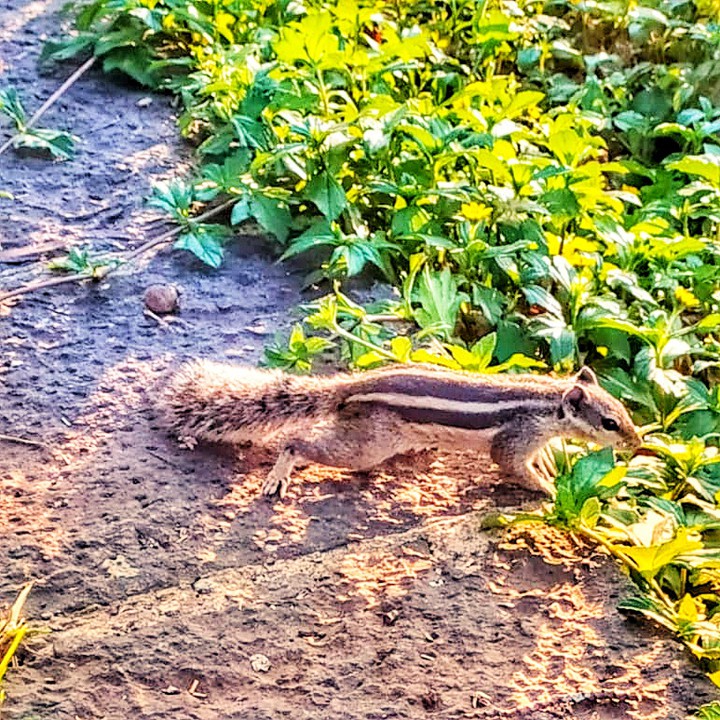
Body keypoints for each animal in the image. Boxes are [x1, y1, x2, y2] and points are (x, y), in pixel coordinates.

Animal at [157, 361, 641, 498]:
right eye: (610, 422)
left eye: (626, 411)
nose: (638, 442)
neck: (545, 402)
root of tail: (350, 386)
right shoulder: (514, 436)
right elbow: (507, 463)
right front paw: (547, 488)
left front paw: (549, 469)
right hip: (368, 444)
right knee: (297, 442)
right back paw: (279, 476)